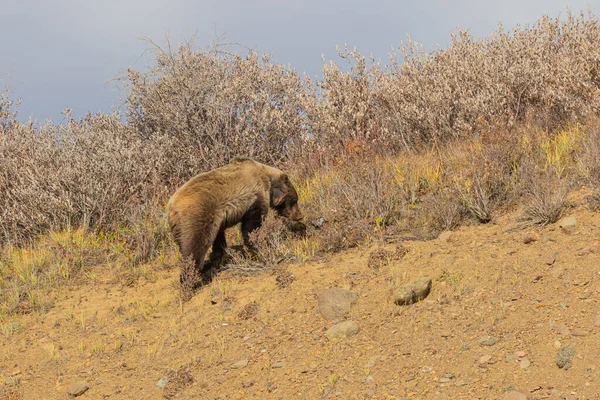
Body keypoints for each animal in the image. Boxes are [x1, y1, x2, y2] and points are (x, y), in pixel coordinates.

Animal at [165, 156, 302, 284]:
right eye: (294, 200)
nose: (299, 216)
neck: (267, 179)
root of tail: (171, 208)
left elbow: (220, 239)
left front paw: (219, 255)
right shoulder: (255, 196)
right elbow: (252, 226)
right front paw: (257, 249)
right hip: (196, 216)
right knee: (194, 247)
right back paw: (190, 279)